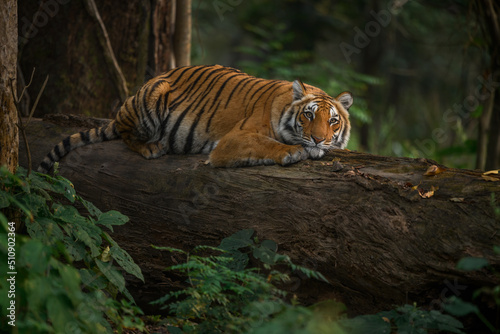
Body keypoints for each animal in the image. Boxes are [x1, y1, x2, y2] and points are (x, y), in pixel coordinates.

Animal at [38, 64, 352, 172]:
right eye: (308, 115)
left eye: (333, 121)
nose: (318, 139)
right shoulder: (232, 140)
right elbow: (266, 144)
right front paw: (293, 152)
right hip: (151, 97)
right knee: (126, 133)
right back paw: (152, 148)